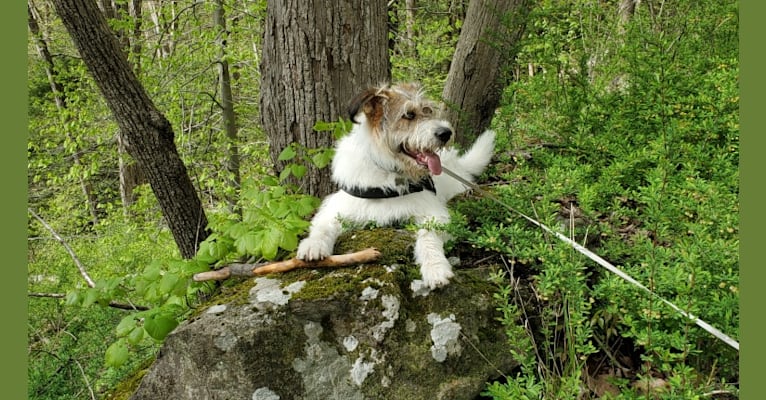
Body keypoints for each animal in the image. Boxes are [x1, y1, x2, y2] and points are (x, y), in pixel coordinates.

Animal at [296, 83, 496, 290]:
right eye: (409, 115)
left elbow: (428, 235)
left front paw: (435, 267)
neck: (389, 173)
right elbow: (323, 225)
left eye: (428, 110)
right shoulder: (338, 206)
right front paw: (312, 245)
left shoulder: (434, 213)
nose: (446, 133)